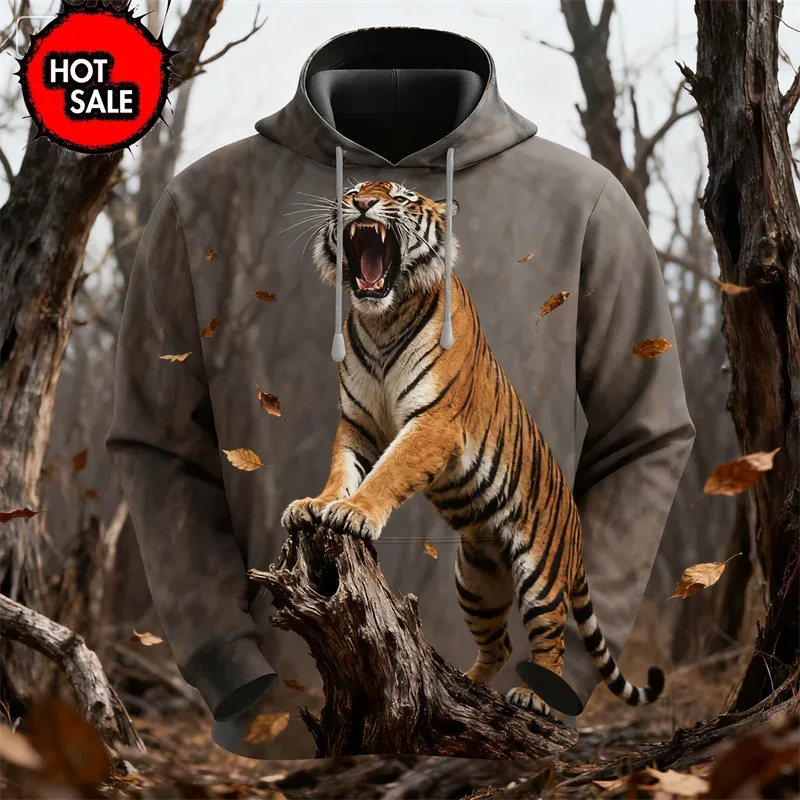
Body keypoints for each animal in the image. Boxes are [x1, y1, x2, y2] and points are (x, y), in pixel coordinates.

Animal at [281, 180, 665, 716]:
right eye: (353, 189)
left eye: (399, 196)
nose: (361, 203)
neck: (382, 319)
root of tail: (576, 530)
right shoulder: (358, 424)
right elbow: (343, 470)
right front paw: (316, 504)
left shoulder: (435, 422)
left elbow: (389, 471)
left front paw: (354, 513)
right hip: (476, 578)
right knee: (499, 643)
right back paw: (469, 689)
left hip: (540, 577)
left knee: (551, 642)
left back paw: (532, 697)